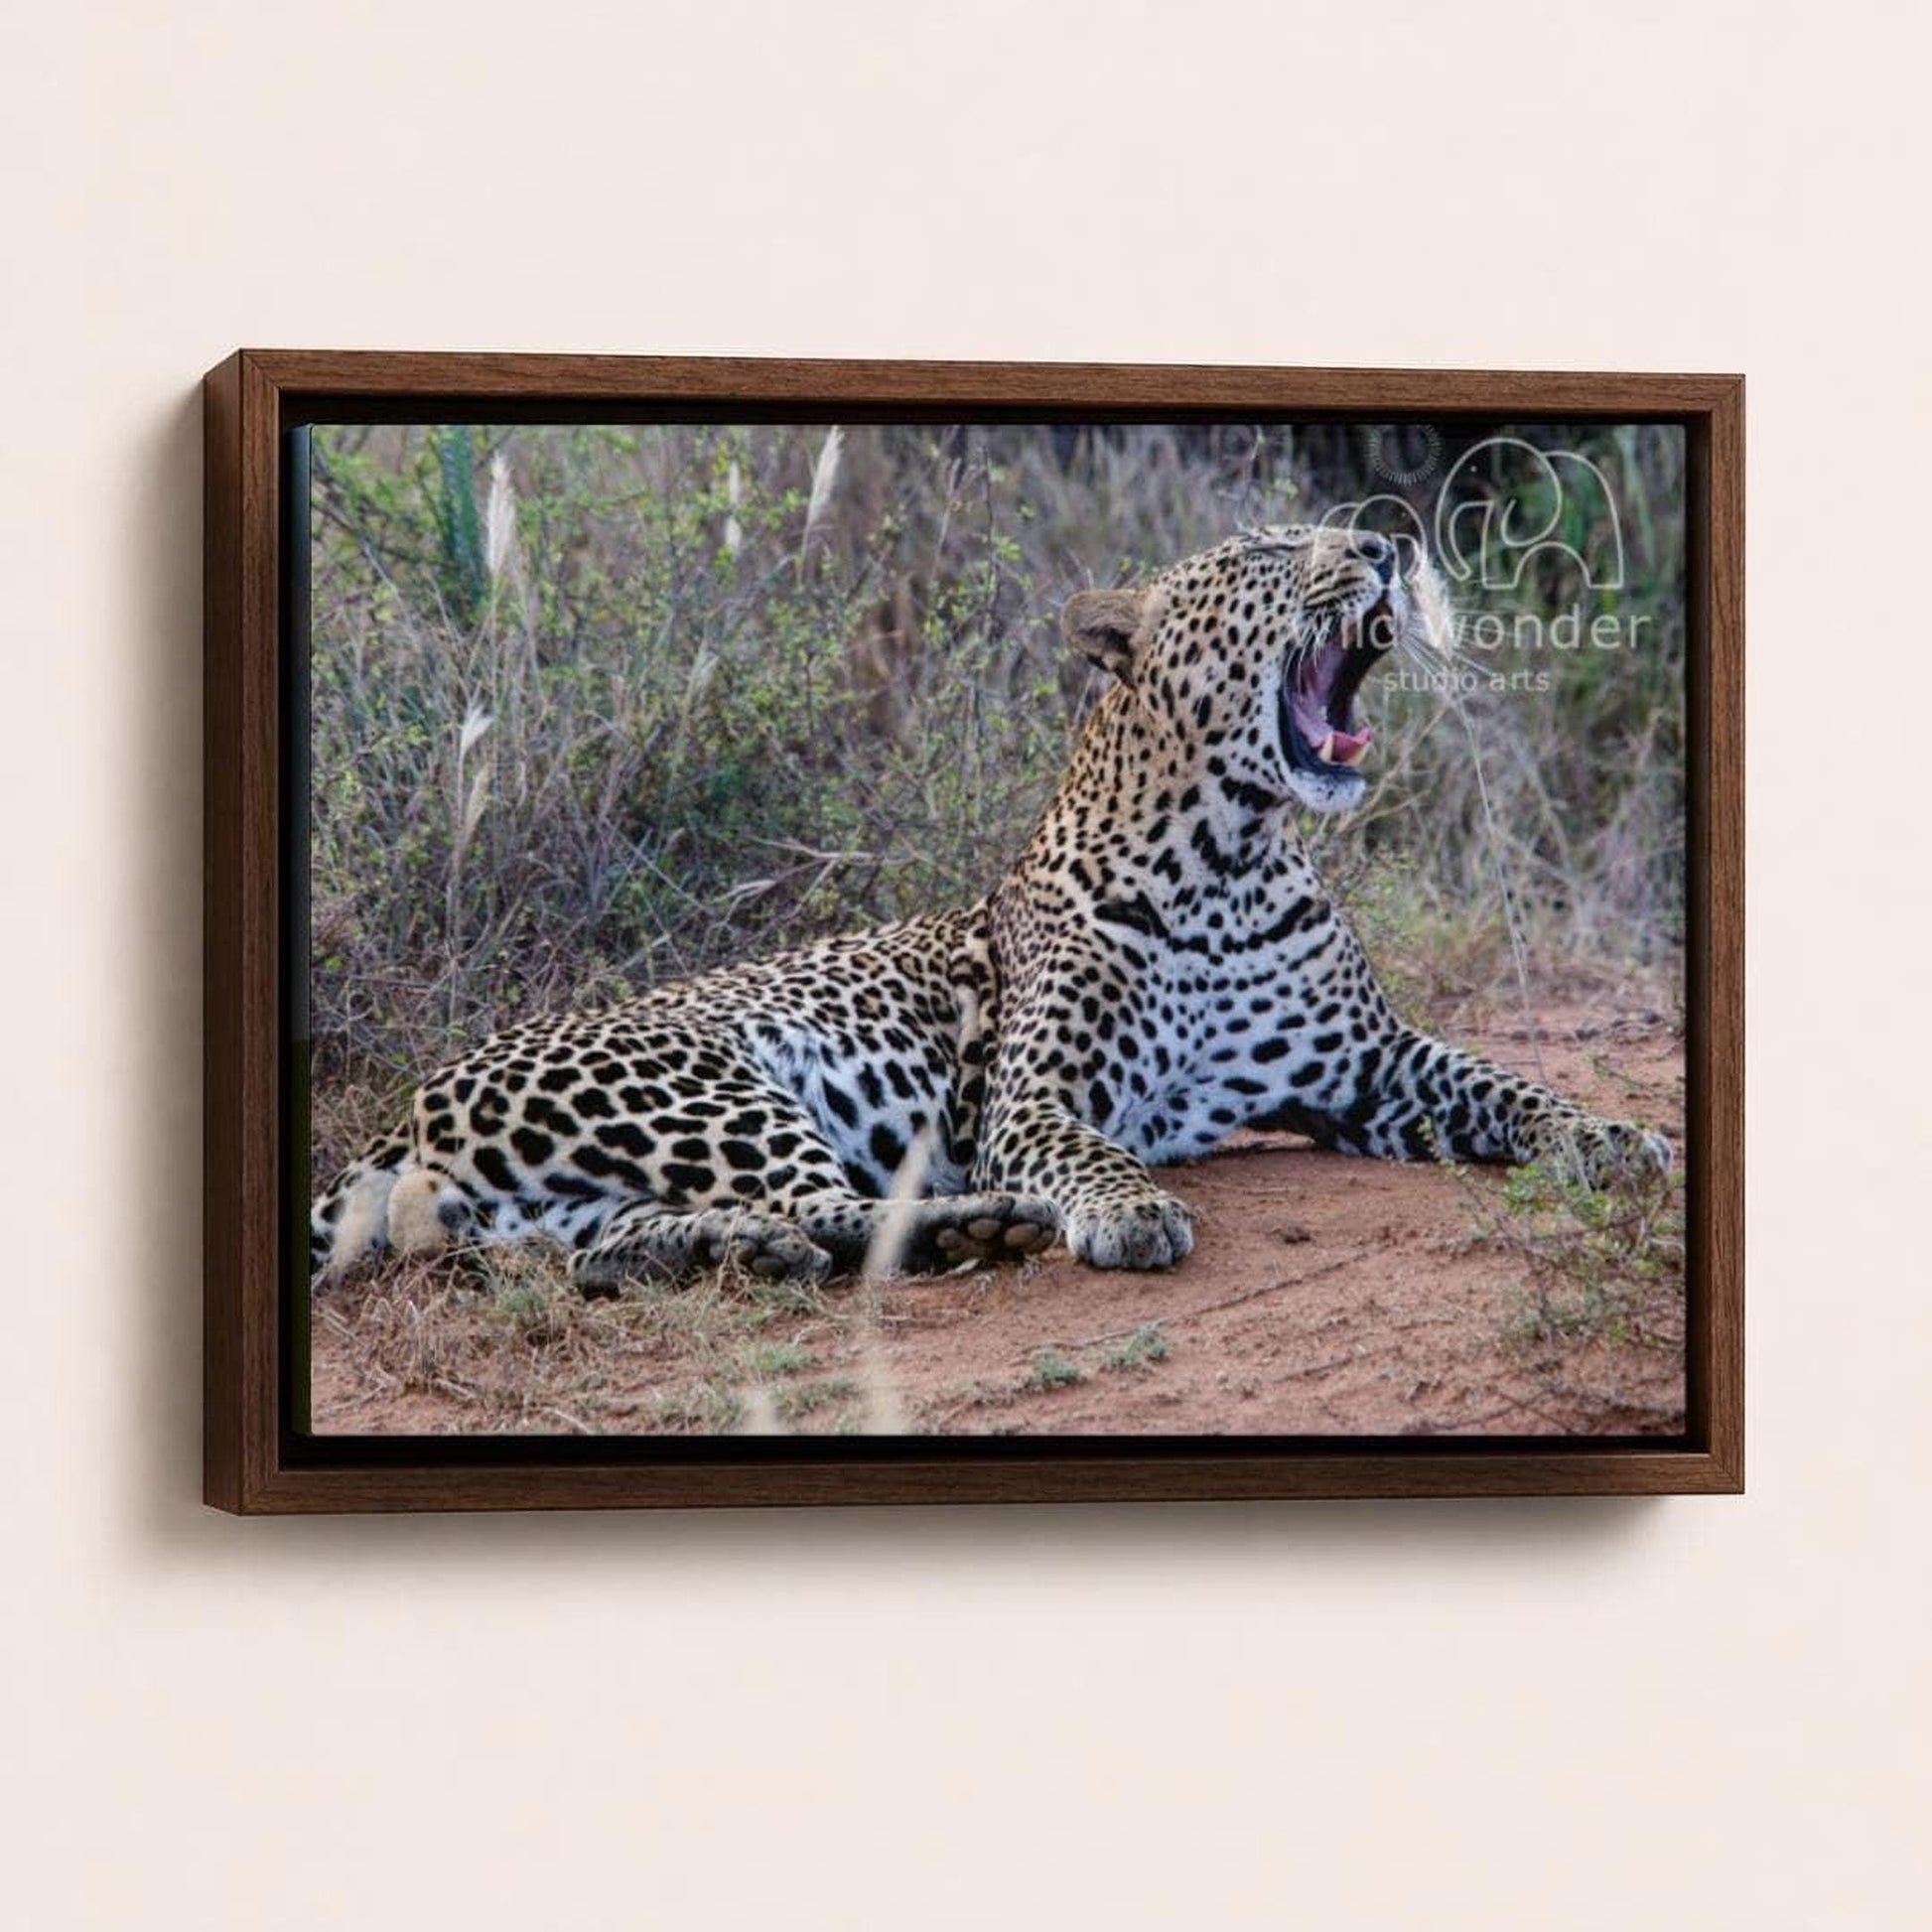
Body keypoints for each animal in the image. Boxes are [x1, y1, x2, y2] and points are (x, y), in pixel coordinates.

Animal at [311, 524, 1669, 1293]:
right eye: (1273, 554)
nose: (1385, 550)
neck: (1228, 858)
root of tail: (408, 1105)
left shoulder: (1370, 1066)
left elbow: (1506, 1082)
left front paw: (1615, 1135)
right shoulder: (1031, 1096)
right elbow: (1087, 1149)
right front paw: (1127, 1208)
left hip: (574, 1194)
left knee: (629, 1244)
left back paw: (723, 1254)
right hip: (707, 1084)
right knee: (834, 1204)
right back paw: (981, 1227)